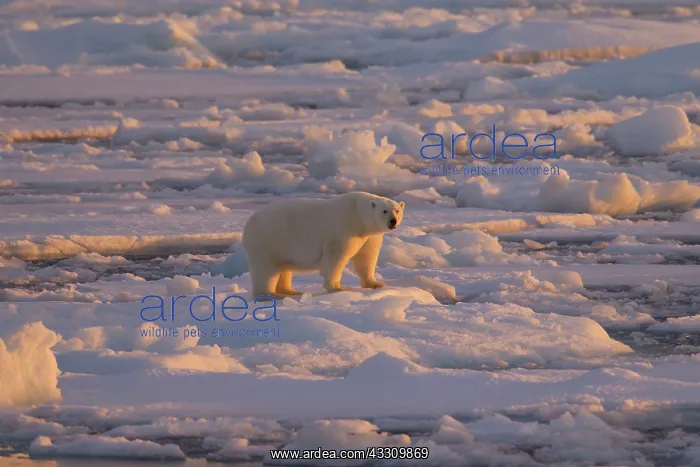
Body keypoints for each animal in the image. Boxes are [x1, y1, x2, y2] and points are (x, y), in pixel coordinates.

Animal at [242, 191, 405, 299]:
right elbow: (335, 257)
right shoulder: (343, 229)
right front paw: (339, 287)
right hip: (268, 240)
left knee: (284, 267)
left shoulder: (369, 236)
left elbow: (366, 257)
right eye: (384, 211)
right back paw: (270, 294)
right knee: (266, 269)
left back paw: (291, 291)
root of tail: (248, 225)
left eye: (397, 210)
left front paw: (376, 284)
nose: (393, 221)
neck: (358, 215)